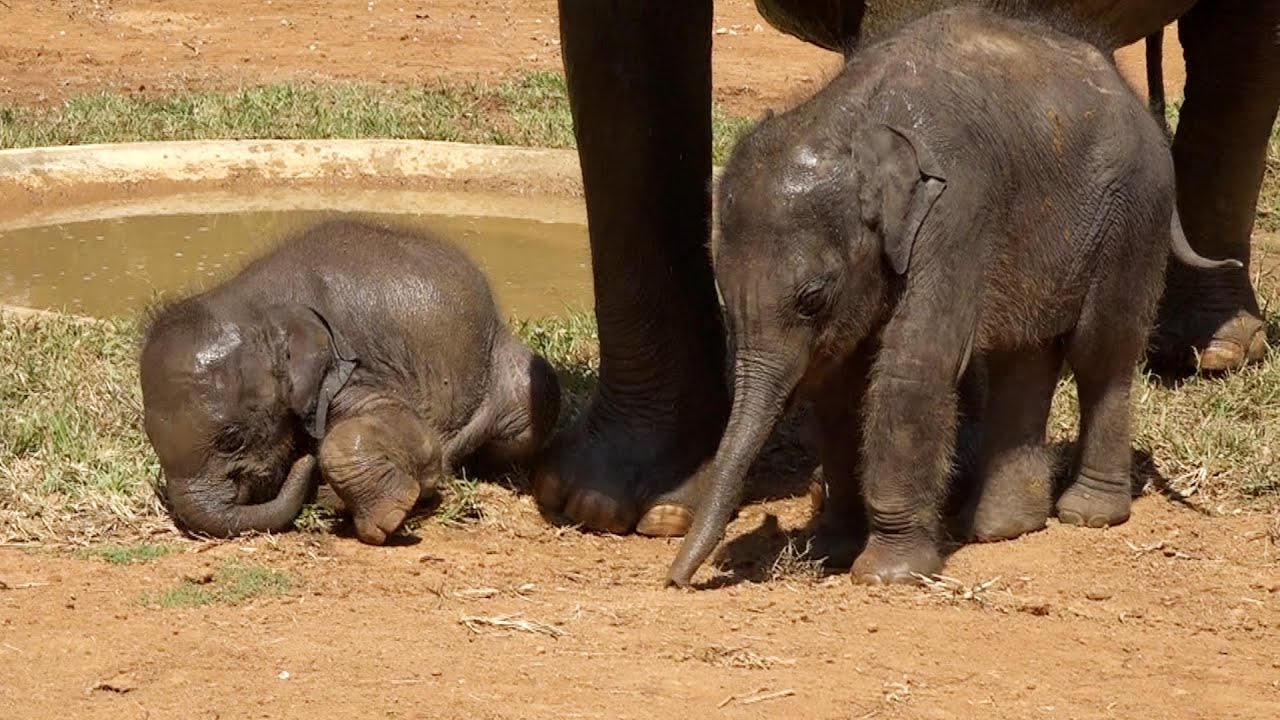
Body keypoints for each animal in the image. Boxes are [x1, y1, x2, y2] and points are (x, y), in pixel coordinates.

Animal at [140, 219, 560, 544]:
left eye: (232, 440)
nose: (304, 462)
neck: (256, 305)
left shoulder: (356, 367)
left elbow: (420, 439)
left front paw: (388, 517)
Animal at [532, 0, 1278, 541]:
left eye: (812, 298)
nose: (676, 578)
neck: (846, 123)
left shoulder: (956, 216)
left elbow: (911, 360)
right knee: (1028, 353)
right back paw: (998, 527)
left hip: (1129, 218)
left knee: (1101, 352)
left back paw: (1095, 501)